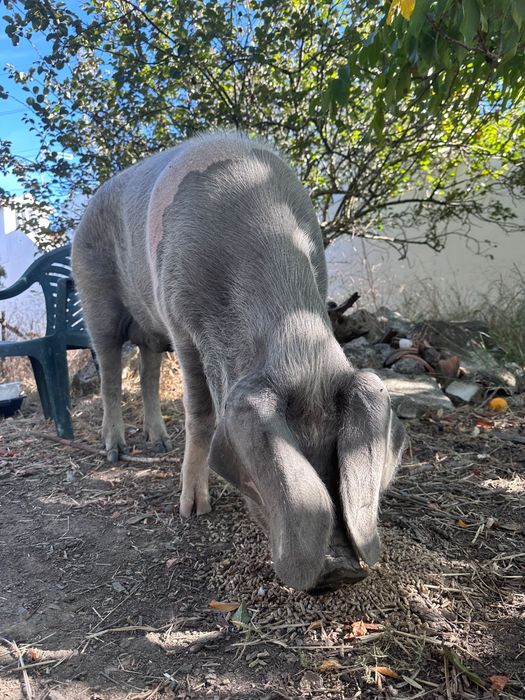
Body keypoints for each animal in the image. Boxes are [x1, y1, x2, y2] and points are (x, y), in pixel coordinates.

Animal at [72, 132, 405, 592]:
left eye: (335, 454)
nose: (339, 571)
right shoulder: (182, 328)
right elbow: (200, 415)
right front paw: (193, 511)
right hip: (95, 299)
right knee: (108, 373)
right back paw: (116, 453)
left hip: (151, 333)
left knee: (148, 370)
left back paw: (160, 443)